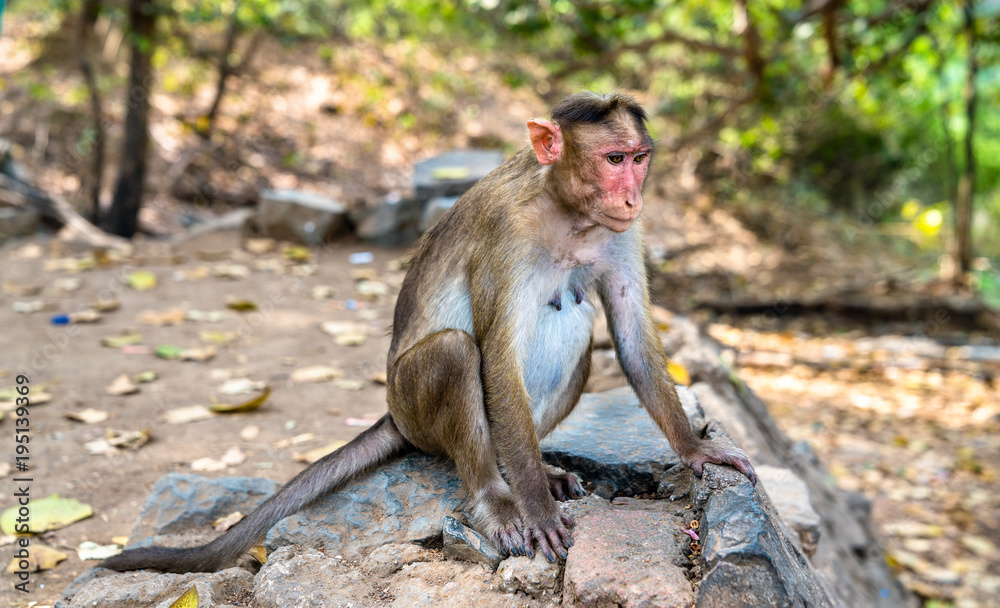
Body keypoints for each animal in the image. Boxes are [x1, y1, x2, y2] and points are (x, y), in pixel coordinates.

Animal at [100, 91, 756, 574]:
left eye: (639, 159)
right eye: (614, 160)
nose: (633, 195)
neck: (568, 211)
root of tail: (393, 415)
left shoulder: (620, 233)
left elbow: (631, 330)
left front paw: (695, 449)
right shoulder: (507, 232)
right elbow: (495, 355)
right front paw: (536, 509)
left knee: (575, 326)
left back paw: (531, 469)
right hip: (414, 411)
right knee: (455, 353)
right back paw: (495, 494)